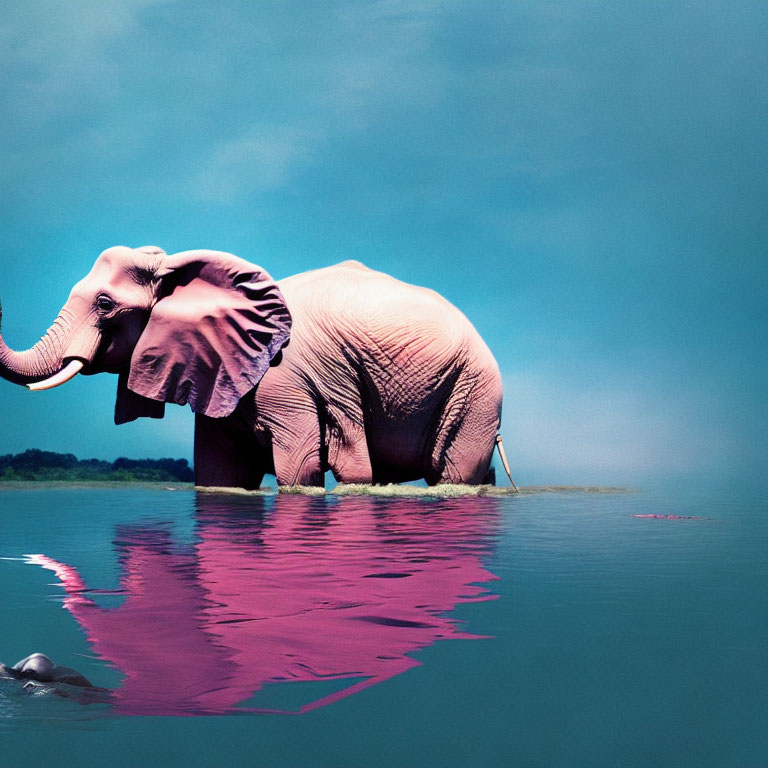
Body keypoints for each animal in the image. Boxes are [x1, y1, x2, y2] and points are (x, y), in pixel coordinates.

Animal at [0, 246, 508, 488]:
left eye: (105, 304)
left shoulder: (286, 379)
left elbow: (300, 468)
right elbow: (218, 474)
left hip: (474, 388)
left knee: (455, 474)